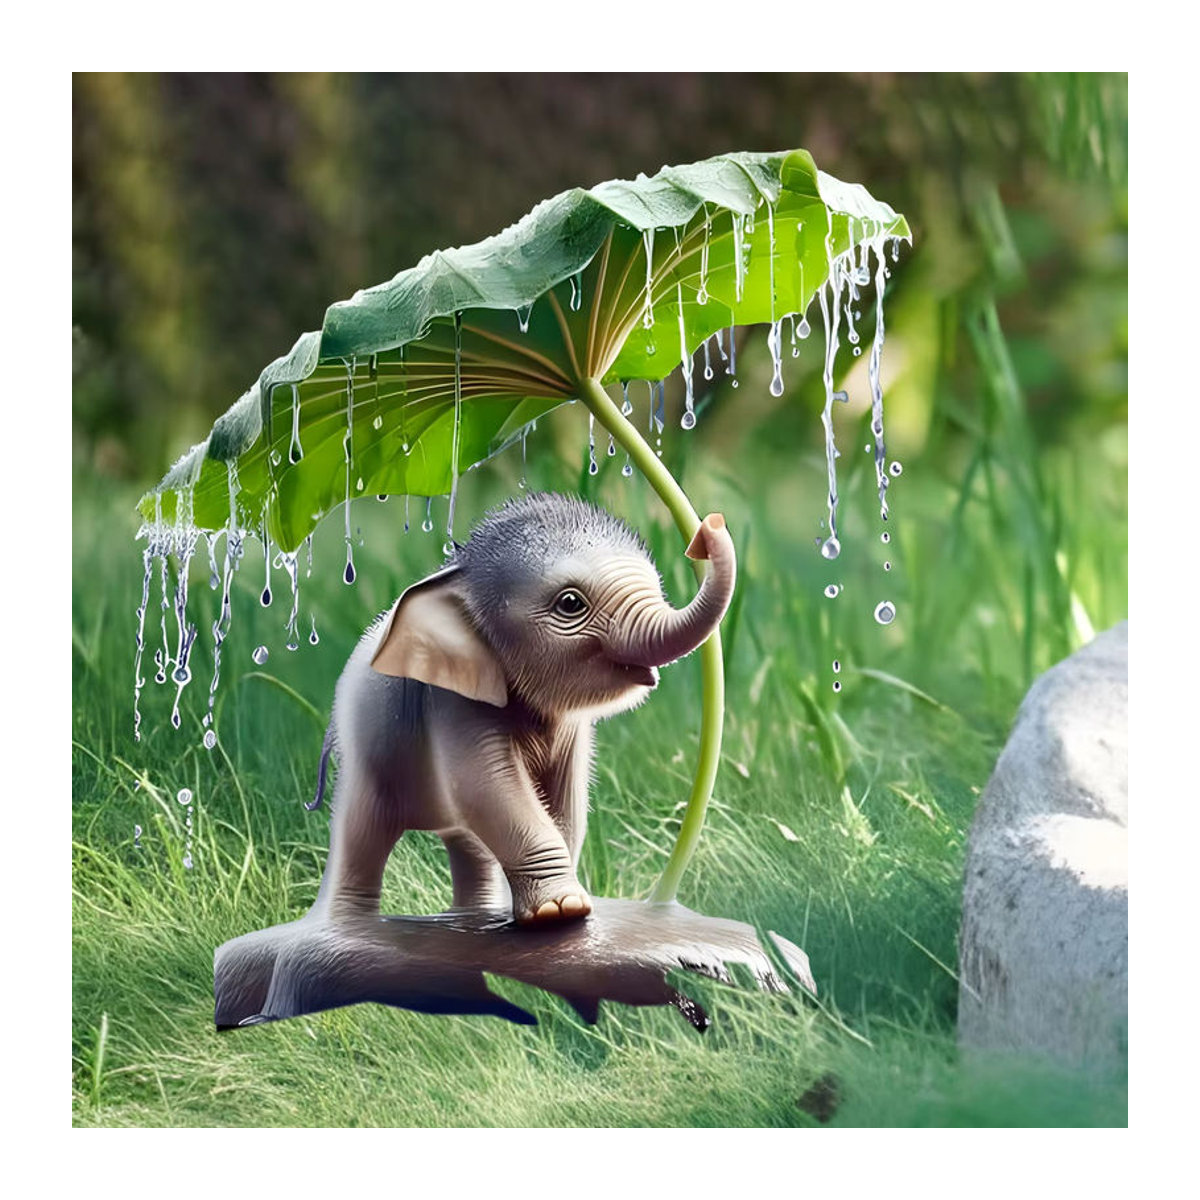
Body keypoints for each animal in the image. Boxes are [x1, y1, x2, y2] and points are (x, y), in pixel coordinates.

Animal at [307, 492, 736, 927]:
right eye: (570, 603)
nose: (709, 527)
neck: (459, 574)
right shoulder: (453, 702)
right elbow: (490, 787)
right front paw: (561, 911)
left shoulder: (570, 731)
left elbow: (565, 800)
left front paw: (559, 909)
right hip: (366, 756)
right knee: (362, 829)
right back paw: (348, 927)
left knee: (467, 841)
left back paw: (472, 917)